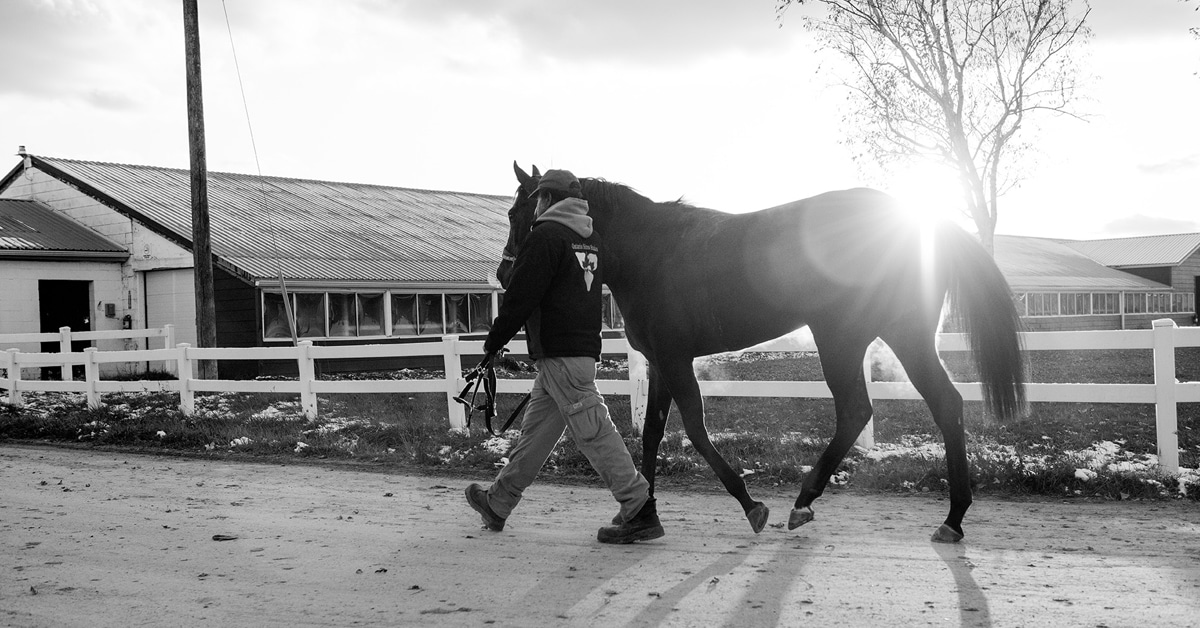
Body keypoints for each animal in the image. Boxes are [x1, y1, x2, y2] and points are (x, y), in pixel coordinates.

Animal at [499, 163, 1026, 543]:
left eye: (519, 213)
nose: (505, 276)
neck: (649, 249)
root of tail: (918, 221)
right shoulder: (661, 362)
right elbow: (650, 435)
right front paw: (640, 515)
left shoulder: (674, 359)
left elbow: (695, 429)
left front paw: (749, 503)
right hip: (887, 336)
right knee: (936, 405)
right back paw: (951, 516)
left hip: (848, 338)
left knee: (866, 409)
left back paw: (811, 501)